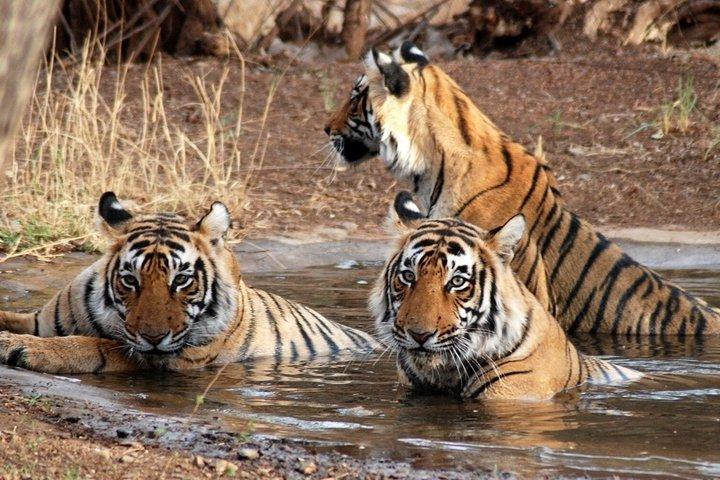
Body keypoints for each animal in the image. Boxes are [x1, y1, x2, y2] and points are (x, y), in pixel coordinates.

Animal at [0, 192, 378, 374]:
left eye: (181, 280)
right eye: (130, 280)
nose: (153, 337)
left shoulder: (164, 358)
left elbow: (94, 346)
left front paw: (21, 348)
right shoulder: (39, 320)